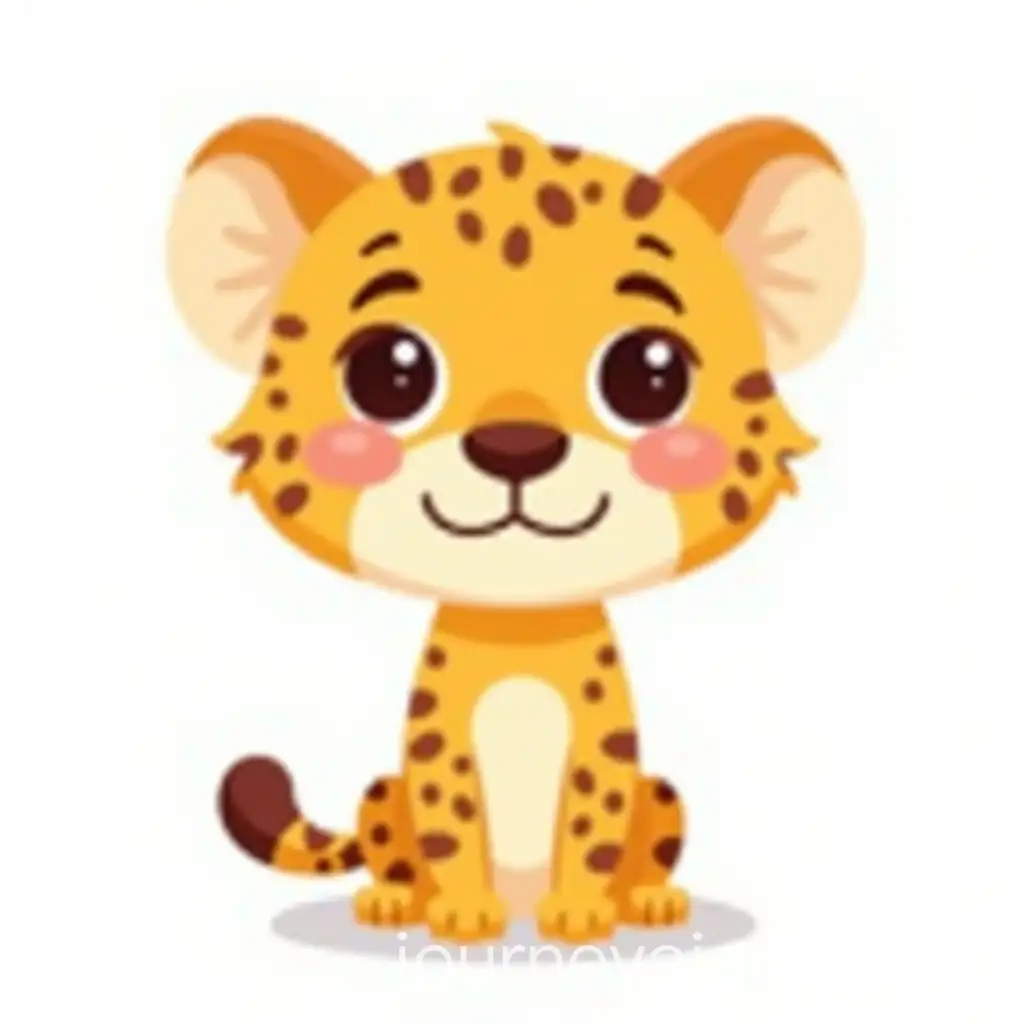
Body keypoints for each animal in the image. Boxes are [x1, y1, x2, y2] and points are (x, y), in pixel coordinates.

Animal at [166, 114, 862, 944]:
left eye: (650, 373)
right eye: (390, 372)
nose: (516, 446)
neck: (518, 630)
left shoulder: (605, 746)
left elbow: (592, 821)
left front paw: (582, 913)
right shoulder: (436, 746)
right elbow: (451, 820)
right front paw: (463, 912)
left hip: (660, 791)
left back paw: (650, 901)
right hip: (383, 790)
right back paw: (395, 900)